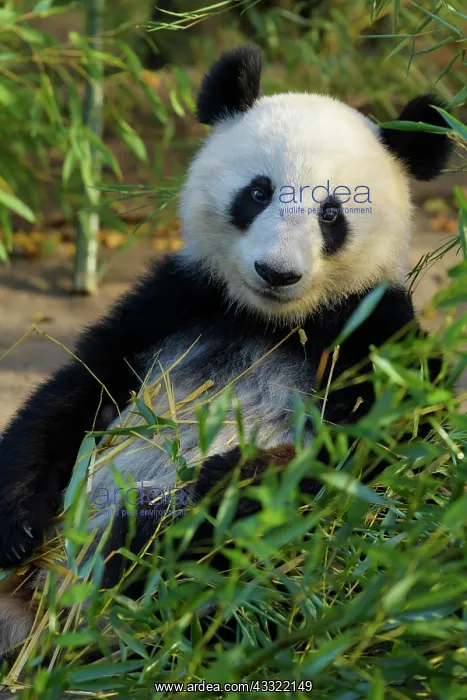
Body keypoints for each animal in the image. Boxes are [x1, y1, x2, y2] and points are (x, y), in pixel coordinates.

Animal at [0, 46, 451, 654]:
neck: (273, 322)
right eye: (258, 192)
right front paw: (17, 520)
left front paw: (228, 478)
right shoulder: (178, 301)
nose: (276, 272)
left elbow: (380, 457)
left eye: (332, 213)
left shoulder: (374, 332)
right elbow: (75, 392)